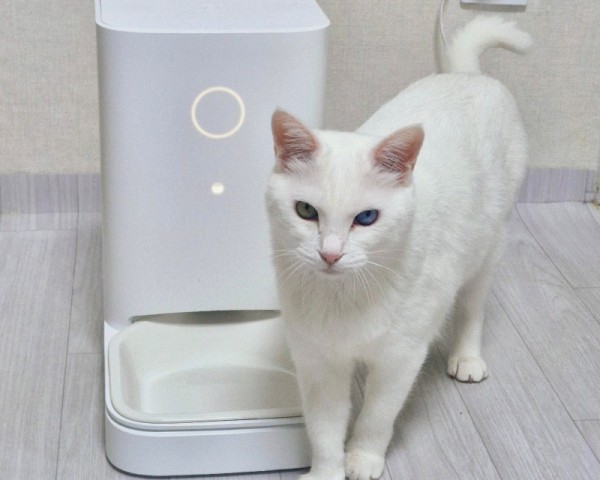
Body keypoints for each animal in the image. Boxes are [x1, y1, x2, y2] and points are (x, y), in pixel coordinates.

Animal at [266, 15, 532, 480]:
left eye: (367, 218)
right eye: (305, 211)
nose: (330, 254)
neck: (343, 299)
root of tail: (467, 75)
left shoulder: (399, 359)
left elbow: (376, 416)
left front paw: (363, 459)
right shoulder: (317, 362)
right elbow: (323, 427)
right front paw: (327, 470)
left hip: (489, 247)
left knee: (473, 307)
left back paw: (466, 357)